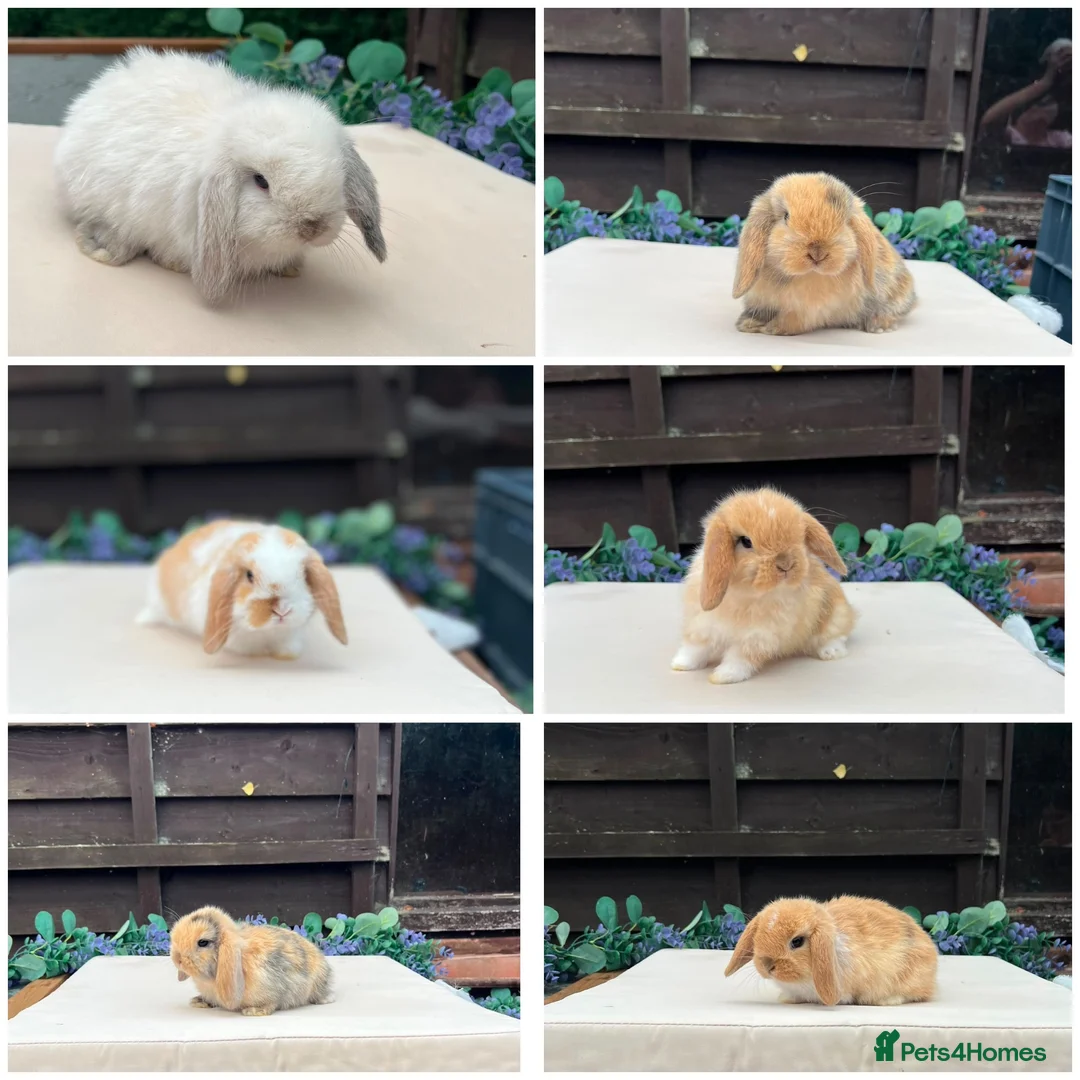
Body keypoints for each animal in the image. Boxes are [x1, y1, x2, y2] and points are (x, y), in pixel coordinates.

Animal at [670, 487, 855, 684]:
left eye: (801, 537)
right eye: (746, 541)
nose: (786, 564)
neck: (746, 591)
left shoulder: (755, 638)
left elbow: (738, 659)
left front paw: (723, 676)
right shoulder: (701, 626)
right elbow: (695, 649)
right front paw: (680, 664)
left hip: (835, 615)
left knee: (837, 635)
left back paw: (831, 652)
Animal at [732, 172, 915, 335]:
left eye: (845, 221)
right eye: (786, 216)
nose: (818, 252)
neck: (809, 276)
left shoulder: (811, 312)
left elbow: (794, 321)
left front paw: (772, 328)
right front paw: (748, 324)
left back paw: (879, 325)